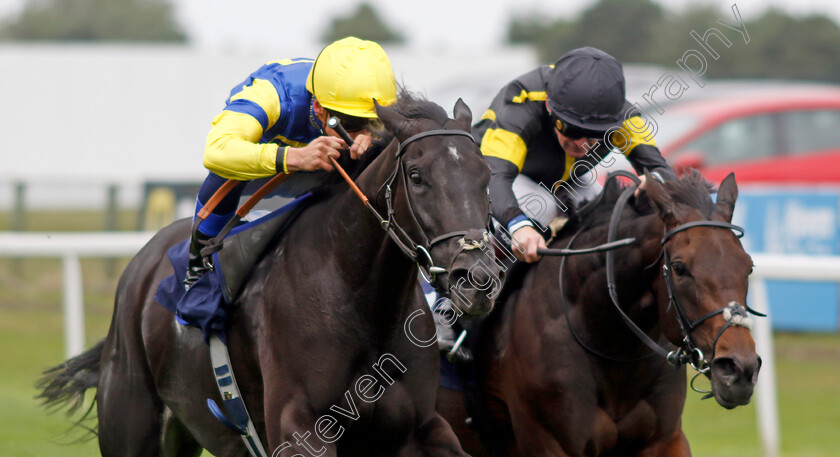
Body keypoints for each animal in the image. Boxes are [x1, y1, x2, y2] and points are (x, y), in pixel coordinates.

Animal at [39, 94, 502, 454]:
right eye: (417, 177)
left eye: (485, 176)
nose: (476, 279)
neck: (357, 297)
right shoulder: (300, 427)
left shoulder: (422, 428)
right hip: (132, 426)